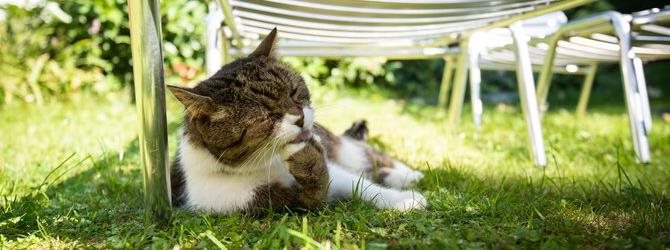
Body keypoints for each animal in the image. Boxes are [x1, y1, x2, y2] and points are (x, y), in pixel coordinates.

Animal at [171, 28, 428, 216]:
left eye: (294, 92)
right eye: (265, 116)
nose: (301, 118)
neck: (266, 164)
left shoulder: (337, 170)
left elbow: (362, 186)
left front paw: (403, 200)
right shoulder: (272, 203)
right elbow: (315, 196)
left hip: (347, 150)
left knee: (369, 158)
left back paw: (408, 176)